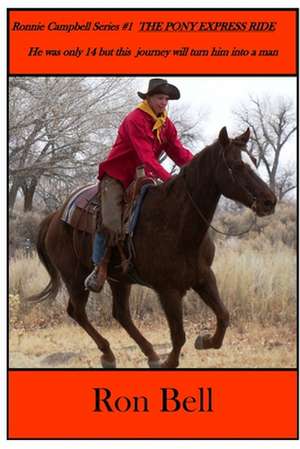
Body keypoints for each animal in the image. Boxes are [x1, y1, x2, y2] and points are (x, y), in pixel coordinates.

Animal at [28, 126, 276, 368]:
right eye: (236, 165)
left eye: (255, 160)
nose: (269, 201)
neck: (176, 224)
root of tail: (55, 216)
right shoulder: (168, 290)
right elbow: (178, 335)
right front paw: (169, 361)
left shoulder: (204, 278)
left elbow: (223, 317)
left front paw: (204, 341)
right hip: (75, 276)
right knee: (77, 312)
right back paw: (109, 354)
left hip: (119, 280)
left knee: (121, 314)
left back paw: (150, 353)